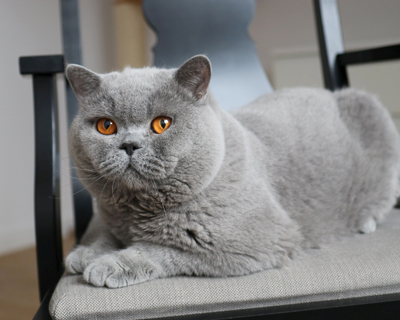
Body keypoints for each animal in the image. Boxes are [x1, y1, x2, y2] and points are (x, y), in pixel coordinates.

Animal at [65, 54, 400, 288]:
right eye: (106, 126)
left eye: (162, 123)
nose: (130, 145)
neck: (137, 211)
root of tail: (331, 92)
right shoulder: (115, 220)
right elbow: (110, 234)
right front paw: (86, 252)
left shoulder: (247, 246)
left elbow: (159, 248)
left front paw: (108, 265)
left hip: (371, 112)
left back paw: (366, 221)